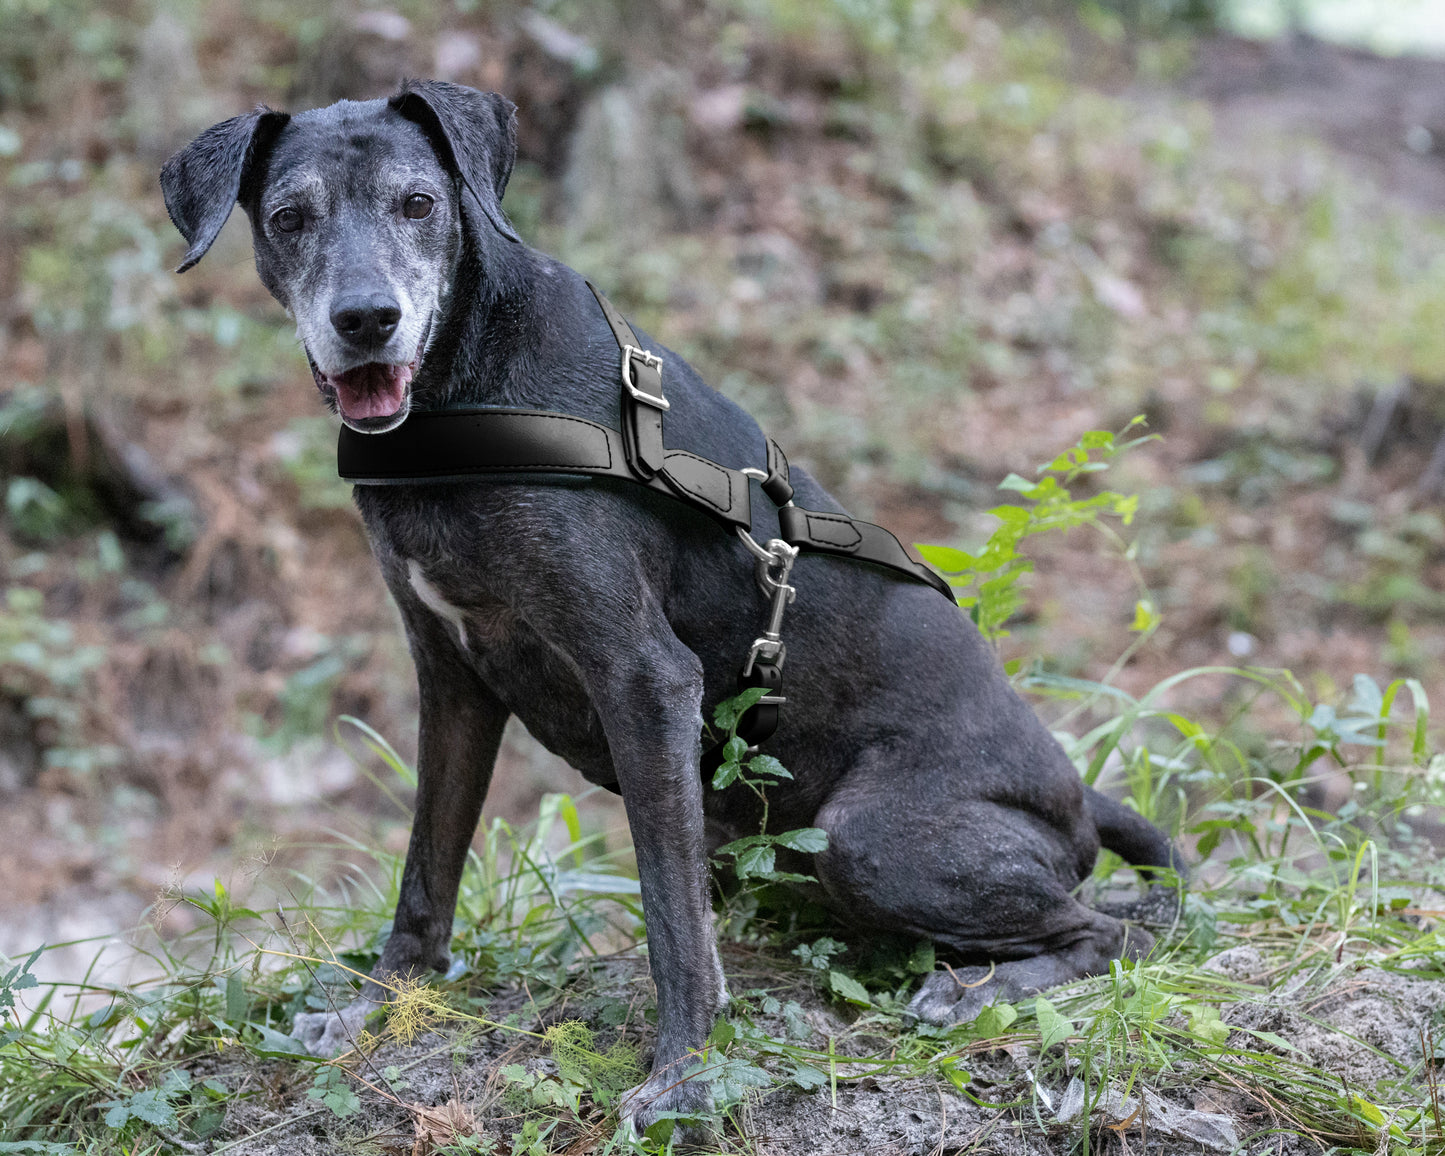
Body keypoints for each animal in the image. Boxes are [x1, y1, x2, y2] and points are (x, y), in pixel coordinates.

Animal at [164, 83, 1179, 1138]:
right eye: (290, 217)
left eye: (418, 203)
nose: (367, 319)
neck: (461, 392)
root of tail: (1078, 799)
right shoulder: (451, 679)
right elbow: (424, 872)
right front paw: (378, 1005)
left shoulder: (644, 678)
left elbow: (670, 917)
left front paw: (685, 1076)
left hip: (869, 837)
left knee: (1116, 933)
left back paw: (977, 989)